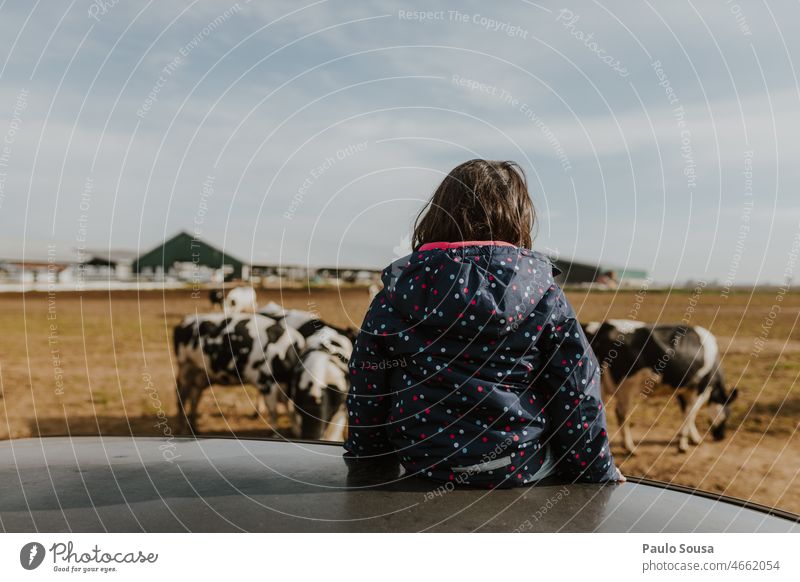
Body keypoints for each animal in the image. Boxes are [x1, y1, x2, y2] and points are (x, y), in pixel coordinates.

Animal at [173, 314, 304, 434]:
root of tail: (183, 321)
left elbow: (290, 408)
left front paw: (295, 431)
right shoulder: (266, 383)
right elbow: (273, 411)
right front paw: (276, 434)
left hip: (200, 374)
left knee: (194, 397)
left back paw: (194, 427)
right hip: (185, 366)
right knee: (181, 397)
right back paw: (183, 430)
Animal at [580, 322, 740, 454]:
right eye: (728, 414)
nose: (721, 437)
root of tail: (604, 328)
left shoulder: (683, 390)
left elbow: (686, 413)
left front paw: (693, 438)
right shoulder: (701, 388)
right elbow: (691, 413)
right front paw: (683, 445)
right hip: (627, 387)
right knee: (621, 414)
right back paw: (630, 447)